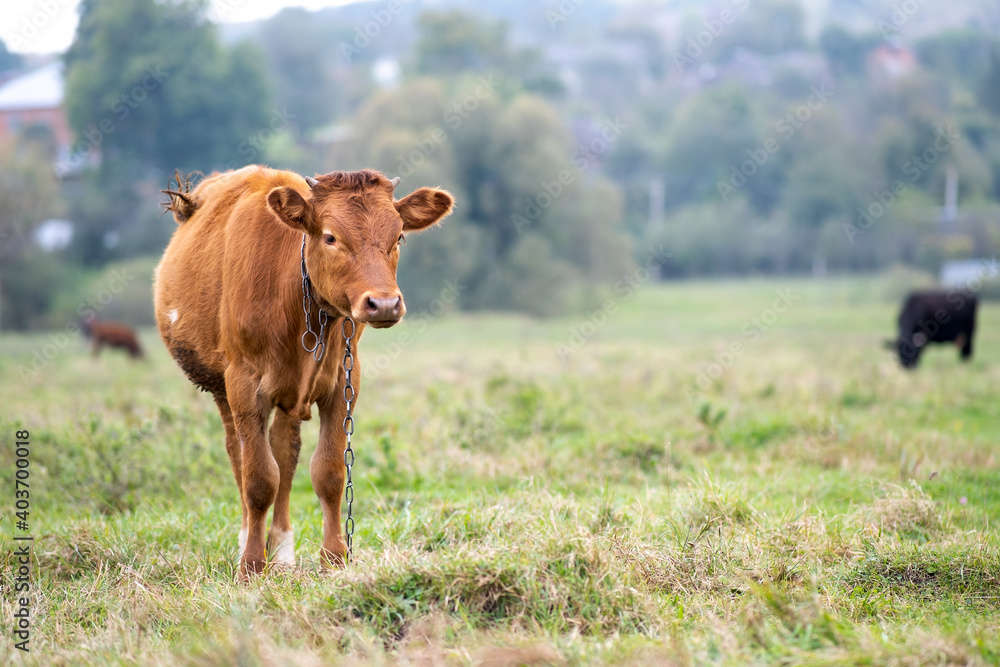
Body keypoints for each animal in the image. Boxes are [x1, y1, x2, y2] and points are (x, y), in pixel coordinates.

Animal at [153, 166, 453, 576]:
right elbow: (259, 479)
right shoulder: (243, 384)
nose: (384, 303)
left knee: (285, 452)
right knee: (239, 453)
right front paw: (251, 564)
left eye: (399, 236)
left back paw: (281, 548)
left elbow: (328, 472)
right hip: (221, 388)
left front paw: (335, 557)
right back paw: (249, 540)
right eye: (330, 237)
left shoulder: (344, 382)